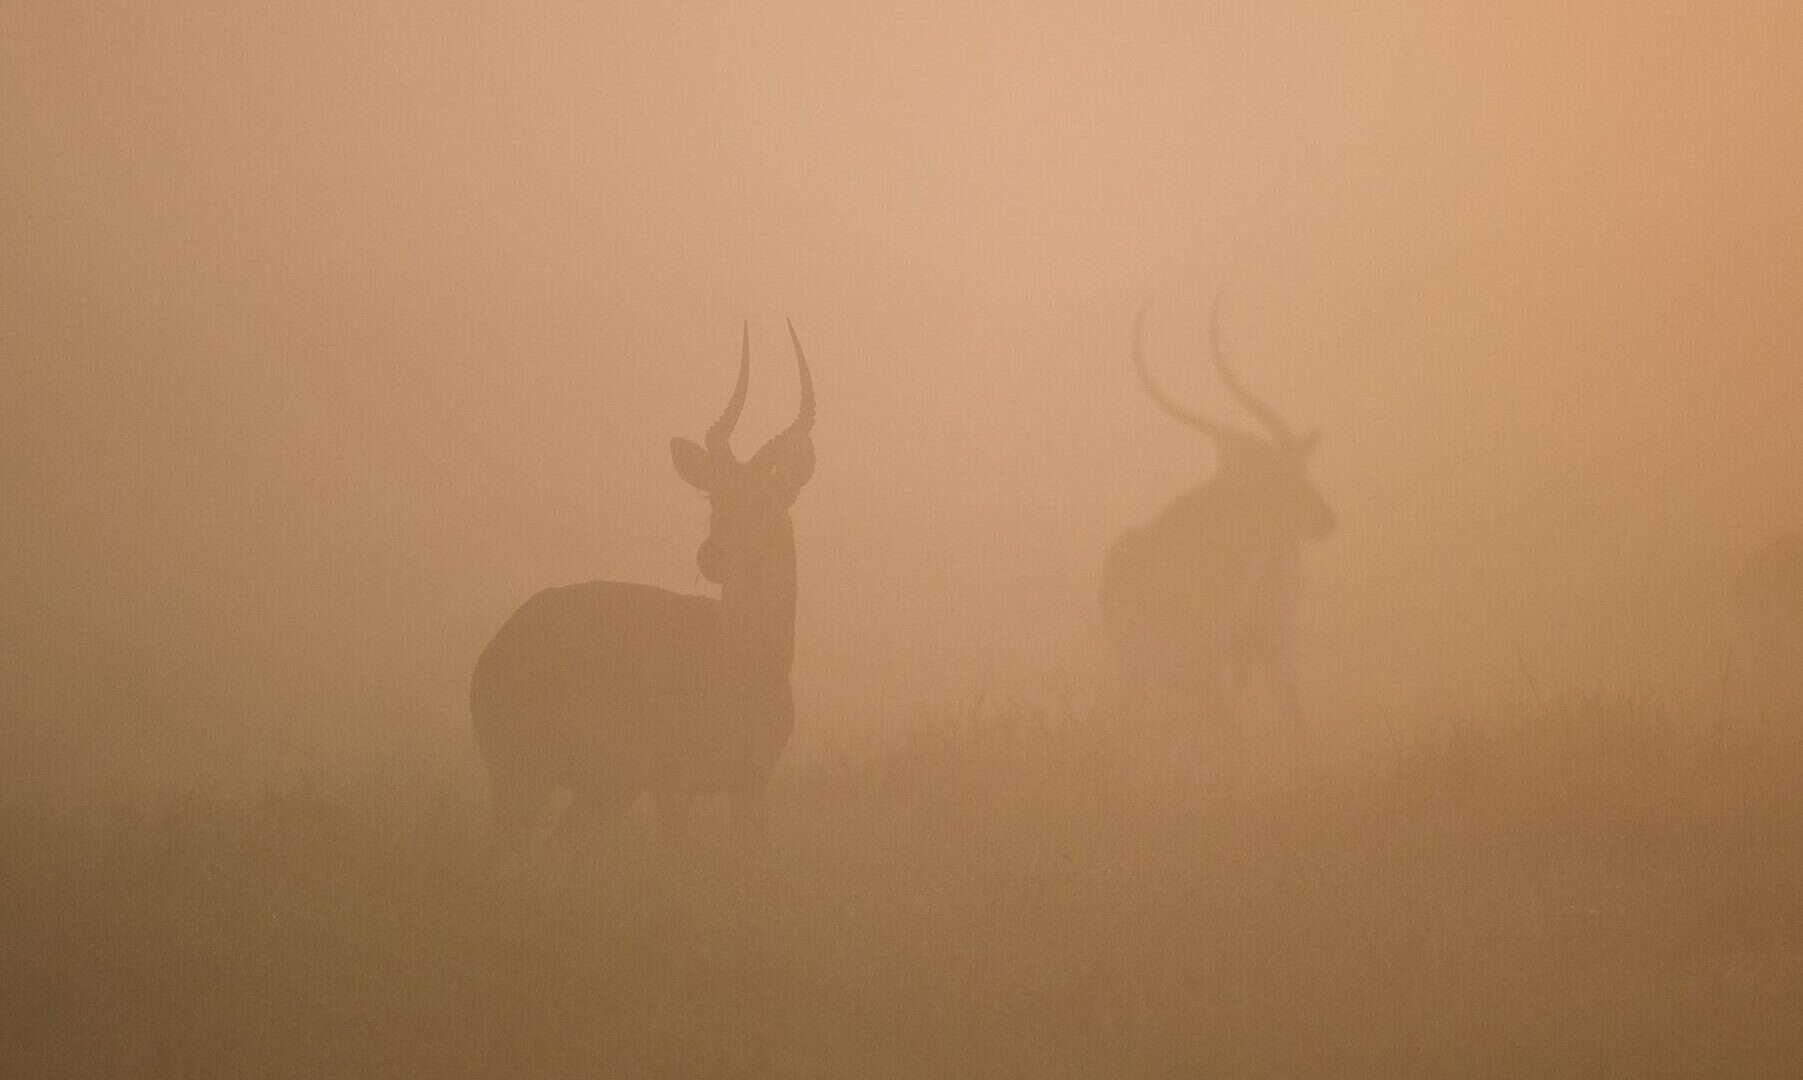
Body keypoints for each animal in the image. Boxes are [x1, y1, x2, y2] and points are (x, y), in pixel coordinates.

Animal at [471, 321, 816, 849]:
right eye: (715, 495)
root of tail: (495, 648)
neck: (743, 663)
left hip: (600, 791)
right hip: (523, 776)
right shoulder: (673, 785)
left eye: (768, 498)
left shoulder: (750, 785)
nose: (712, 555)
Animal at [1101, 292, 1334, 748]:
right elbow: (1228, 729)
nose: (1325, 518)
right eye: (1272, 472)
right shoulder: (1202, 665)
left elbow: (1294, 720)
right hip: (1143, 670)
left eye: (1299, 465)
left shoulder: (1276, 650)